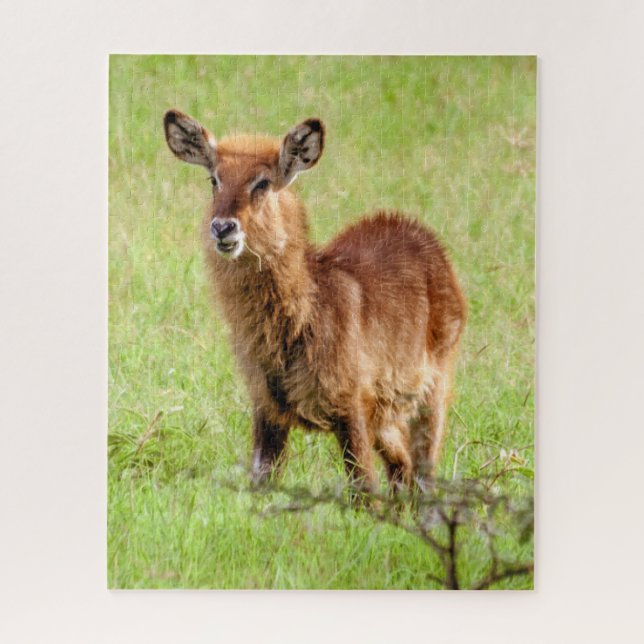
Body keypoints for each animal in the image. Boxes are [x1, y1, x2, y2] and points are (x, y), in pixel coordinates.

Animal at [163, 109, 467, 495]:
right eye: (213, 179)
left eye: (262, 183)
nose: (223, 228)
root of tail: (418, 232)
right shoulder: (267, 409)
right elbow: (261, 486)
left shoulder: (351, 408)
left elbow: (364, 490)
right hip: (386, 414)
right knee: (403, 468)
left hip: (432, 390)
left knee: (424, 474)